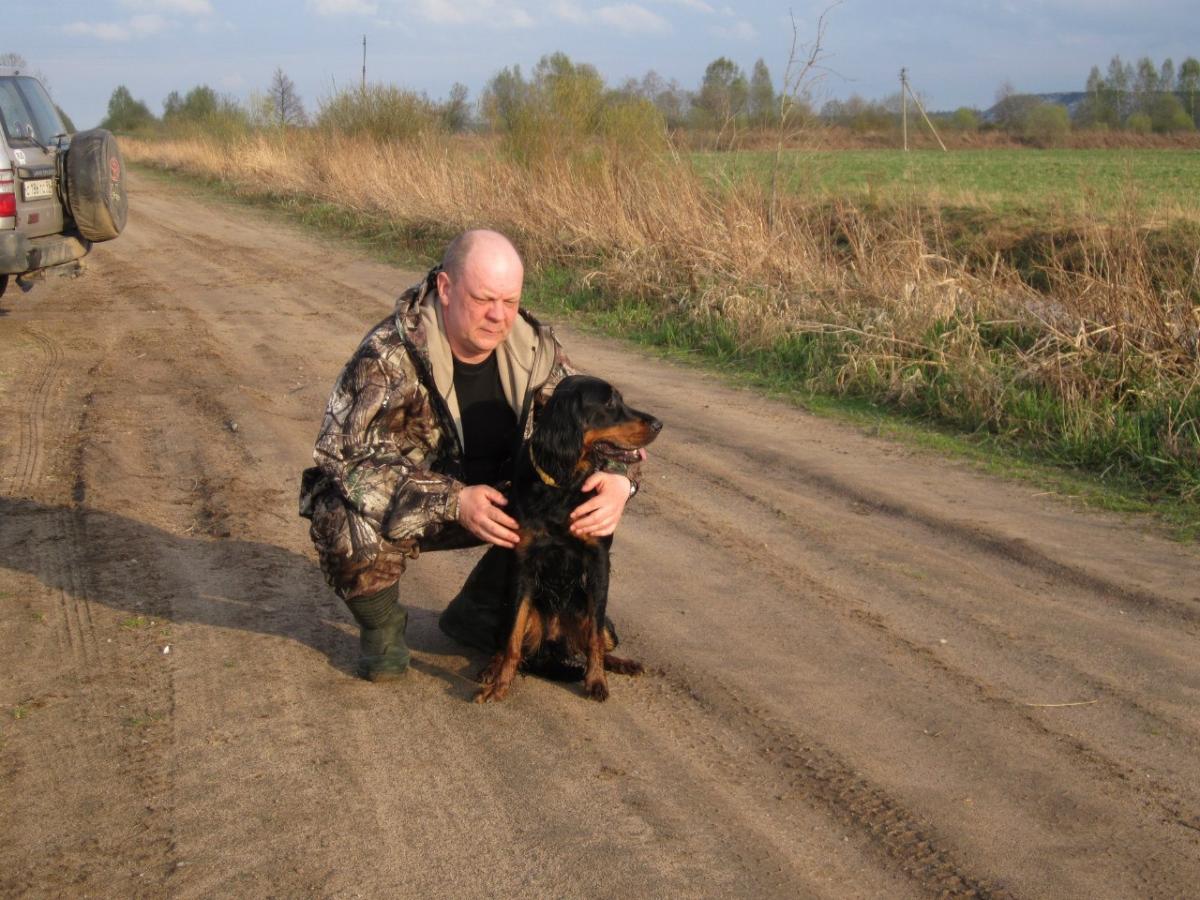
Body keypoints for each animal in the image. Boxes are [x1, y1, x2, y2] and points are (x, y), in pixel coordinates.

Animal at [475, 375, 662, 703]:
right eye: (609, 402)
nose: (659, 424)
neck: (563, 484)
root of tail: (555, 641)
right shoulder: (523, 563)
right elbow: (512, 639)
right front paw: (499, 685)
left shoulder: (599, 562)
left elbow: (594, 639)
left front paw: (596, 681)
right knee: (510, 637)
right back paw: (493, 667)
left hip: (597, 619)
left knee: (594, 641)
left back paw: (623, 664)